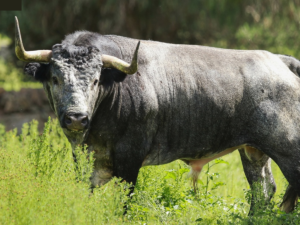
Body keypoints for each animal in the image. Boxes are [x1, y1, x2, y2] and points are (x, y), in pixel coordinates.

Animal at [14, 16, 300, 214]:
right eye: (55, 78)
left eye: (96, 80)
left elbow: (124, 200)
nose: (76, 118)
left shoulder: (130, 158)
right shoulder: (85, 159)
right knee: (263, 190)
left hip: (287, 150)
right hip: (253, 151)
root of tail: (281, 60)